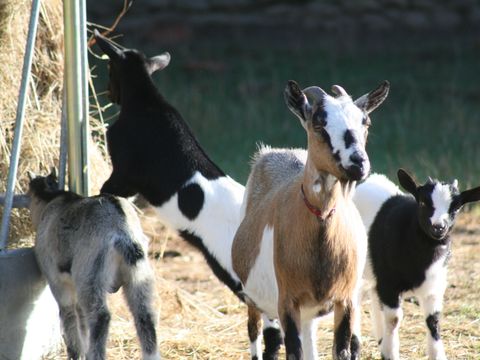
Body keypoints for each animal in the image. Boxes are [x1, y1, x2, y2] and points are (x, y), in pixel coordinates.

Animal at [27, 169, 159, 360]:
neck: (52, 200)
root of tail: (122, 232)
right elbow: (81, 320)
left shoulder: (58, 282)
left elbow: (69, 316)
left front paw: (76, 353)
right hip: (139, 275)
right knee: (145, 315)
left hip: (90, 275)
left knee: (100, 316)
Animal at [232, 80, 390, 358]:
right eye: (319, 123)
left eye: (366, 122)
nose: (358, 163)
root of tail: (272, 154)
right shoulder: (288, 302)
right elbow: (292, 351)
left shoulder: (345, 300)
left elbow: (342, 350)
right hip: (254, 298)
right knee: (254, 331)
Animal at [352, 169, 480, 360]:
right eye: (423, 202)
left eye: (456, 208)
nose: (438, 227)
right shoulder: (389, 283)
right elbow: (393, 319)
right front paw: (390, 353)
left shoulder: (434, 285)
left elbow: (433, 320)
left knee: (375, 300)